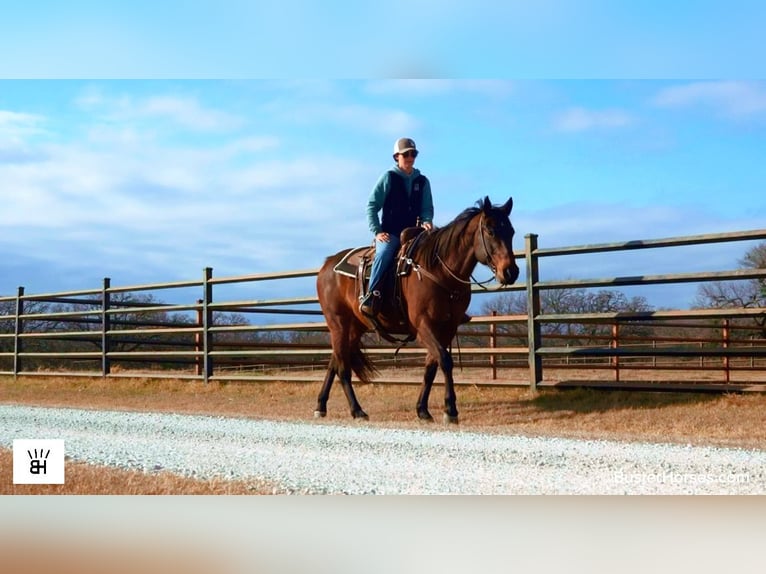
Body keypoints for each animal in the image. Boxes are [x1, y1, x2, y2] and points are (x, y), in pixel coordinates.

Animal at [315, 196, 519, 424]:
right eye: (490, 231)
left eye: (511, 232)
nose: (510, 272)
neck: (439, 271)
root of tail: (327, 265)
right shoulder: (424, 326)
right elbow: (445, 361)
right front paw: (450, 410)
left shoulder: (447, 328)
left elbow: (431, 366)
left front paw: (422, 409)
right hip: (338, 324)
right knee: (342, 367)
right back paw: (356, 410)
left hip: (354, 328)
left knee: (335, 361)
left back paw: (321, 405)